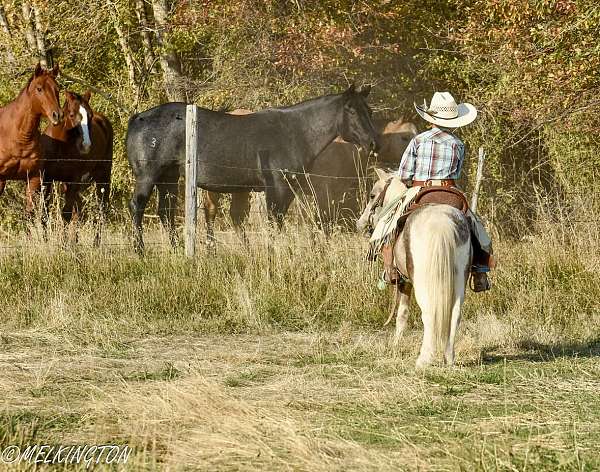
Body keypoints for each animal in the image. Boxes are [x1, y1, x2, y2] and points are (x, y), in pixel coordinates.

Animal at [41, 89, 114, 243]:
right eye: (72, 115)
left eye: (89, 115)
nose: (85, 145)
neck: (60, 145)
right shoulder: (47, 179)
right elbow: (45, 212)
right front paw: (46, 241)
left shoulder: (73, 180)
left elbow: (66, 214)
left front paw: (63, 244)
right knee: (78, 209)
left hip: (102, 176)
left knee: (101, 208)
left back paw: (95, 243)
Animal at [125, 86, 380, 253]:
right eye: (351, 110)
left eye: (369, 111)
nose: (373, 144)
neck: (294, 132)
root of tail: (138, 118)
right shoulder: (277, 189)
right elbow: (274, 223)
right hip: (149, 176)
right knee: (137, 206)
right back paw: (140, 250)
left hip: (168, 178)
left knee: (165, 213)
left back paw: (177, 249)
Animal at [358, 170, 472, 368]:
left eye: (372, 195)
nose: (361, 223)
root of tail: (441, 221)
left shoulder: (404, 281)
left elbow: (402, 314)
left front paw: (395, 346)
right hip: (460, 278)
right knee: (455, 313)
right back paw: (449, 357)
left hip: (422, 281)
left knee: (428, 314)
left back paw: (423, 359)